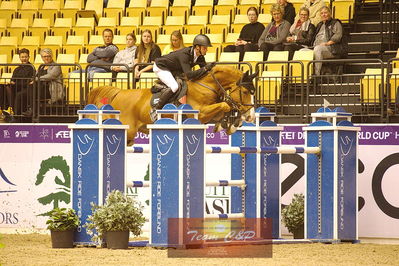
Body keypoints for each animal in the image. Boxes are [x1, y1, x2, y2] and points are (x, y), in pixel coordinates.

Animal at [88, 65, 258, 145]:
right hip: (128, 130)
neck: (206, 86)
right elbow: (225, 105)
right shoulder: (201, 113)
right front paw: (233, 123)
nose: (250, 116)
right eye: (245, 91)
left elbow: (225, 108)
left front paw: (230, 124)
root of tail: (119, 93)